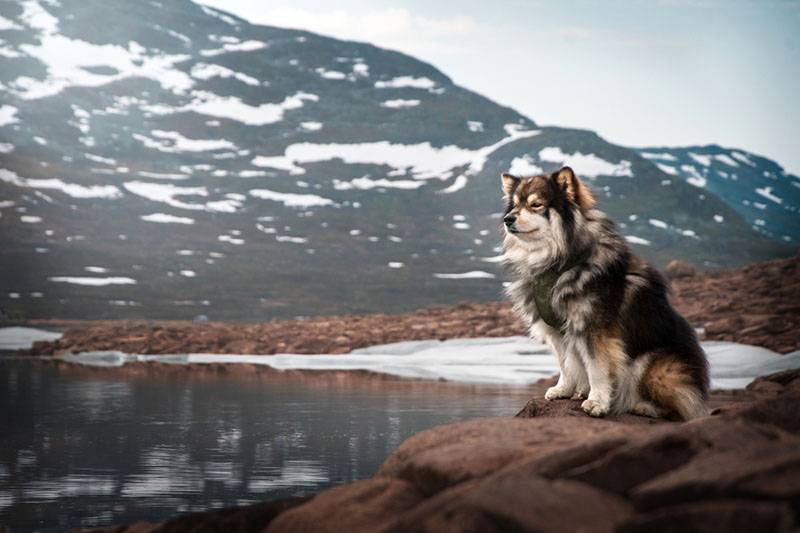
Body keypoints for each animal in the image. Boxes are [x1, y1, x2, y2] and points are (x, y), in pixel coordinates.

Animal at [504, 167, 708, 420]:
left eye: (536, 204)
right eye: (514, 205)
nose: (507, 219)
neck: (558, 263)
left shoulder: (594, 330)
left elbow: (597, 369)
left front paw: (597, 402)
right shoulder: (558, 331)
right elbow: (566, 364)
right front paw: (564, 390)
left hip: (657, 366)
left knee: (681, 406)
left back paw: (643, 406)